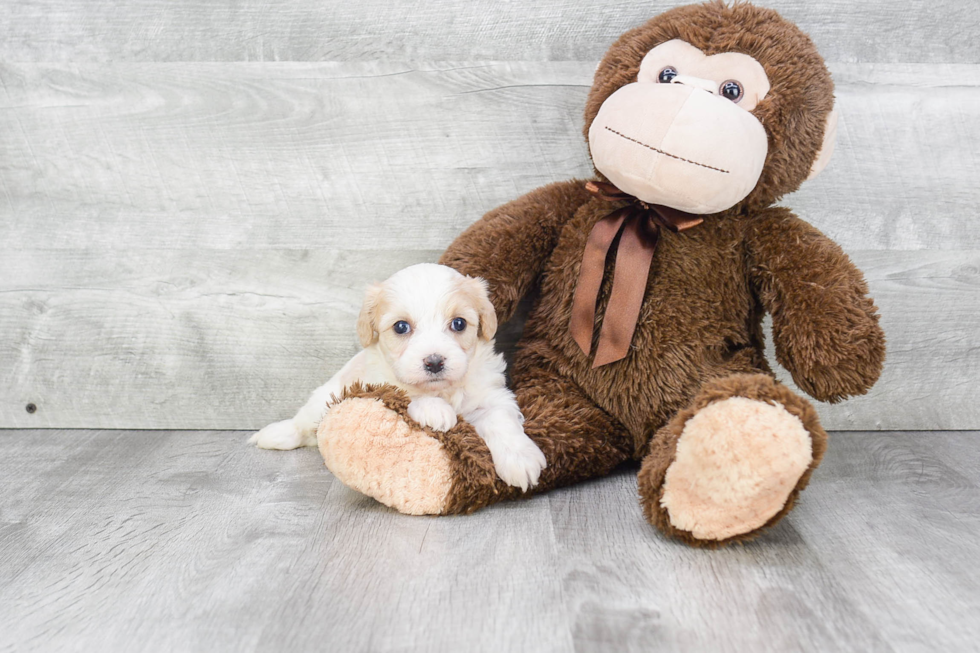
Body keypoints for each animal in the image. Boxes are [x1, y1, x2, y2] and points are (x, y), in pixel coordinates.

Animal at [249, 262, 548, 492]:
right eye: (401, 327)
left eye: (459, 323)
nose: (434, 362)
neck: (443, 390)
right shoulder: (376, 381)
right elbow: (404, 392)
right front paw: (435, 410)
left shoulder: (491, 395)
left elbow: (501, 421)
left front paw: (521, 460)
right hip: (322, 399)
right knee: (304, 425)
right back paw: (275, 434)